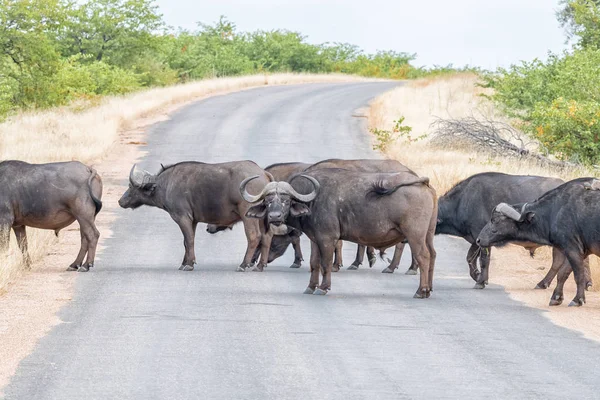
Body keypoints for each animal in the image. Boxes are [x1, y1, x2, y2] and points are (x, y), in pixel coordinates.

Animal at [119, 162, 272, 272]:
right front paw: (184, 263)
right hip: (260, 216)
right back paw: (260, 266)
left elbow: (189, 239)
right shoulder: (193, 220)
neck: (167, 184)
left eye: (131, 186)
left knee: (254, 236)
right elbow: (186, 242)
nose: (120, 201)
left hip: (248, 215)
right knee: (266, 237)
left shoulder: (182, 217)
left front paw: (189, 264)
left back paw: (243, 265)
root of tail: (263, 173)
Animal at [239, 168, 436, 296]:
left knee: (423, 256)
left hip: (415, 235)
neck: (313, 201)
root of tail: (423, 183)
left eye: (286, 201)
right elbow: (314, 263)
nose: (274, 217)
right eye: (267, 201)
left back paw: (421, 291)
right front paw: (310, 287)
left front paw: (323, 288)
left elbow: (326, 264)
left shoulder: (327, 239)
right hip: (428, 235)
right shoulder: (315, 239)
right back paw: (430, 288)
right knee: (433, 255)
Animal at [424, 171, 584, 288]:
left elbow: (483, 260)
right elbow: (470, 258)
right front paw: (478, 276)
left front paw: (480, 281)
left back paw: (544, 283)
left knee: (560, 262)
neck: (462, 202)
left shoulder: (482, 237)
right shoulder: (476, 239)